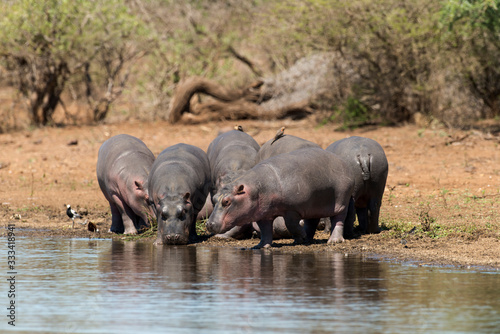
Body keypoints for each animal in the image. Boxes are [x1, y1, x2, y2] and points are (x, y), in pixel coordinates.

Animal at [207, 147, 356, 248]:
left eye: (227, 201)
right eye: (214, 198)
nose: (209, 224)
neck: (256, 188)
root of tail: (344, 162)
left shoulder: (292, 209)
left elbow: (290, 224)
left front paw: (300, 236)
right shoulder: (263, 214)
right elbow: (265, 230)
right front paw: (261, 246)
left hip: (341, 200)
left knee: (338, 219)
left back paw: (333, 241)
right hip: (313, 204)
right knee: (312, 221)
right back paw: (306, 239)